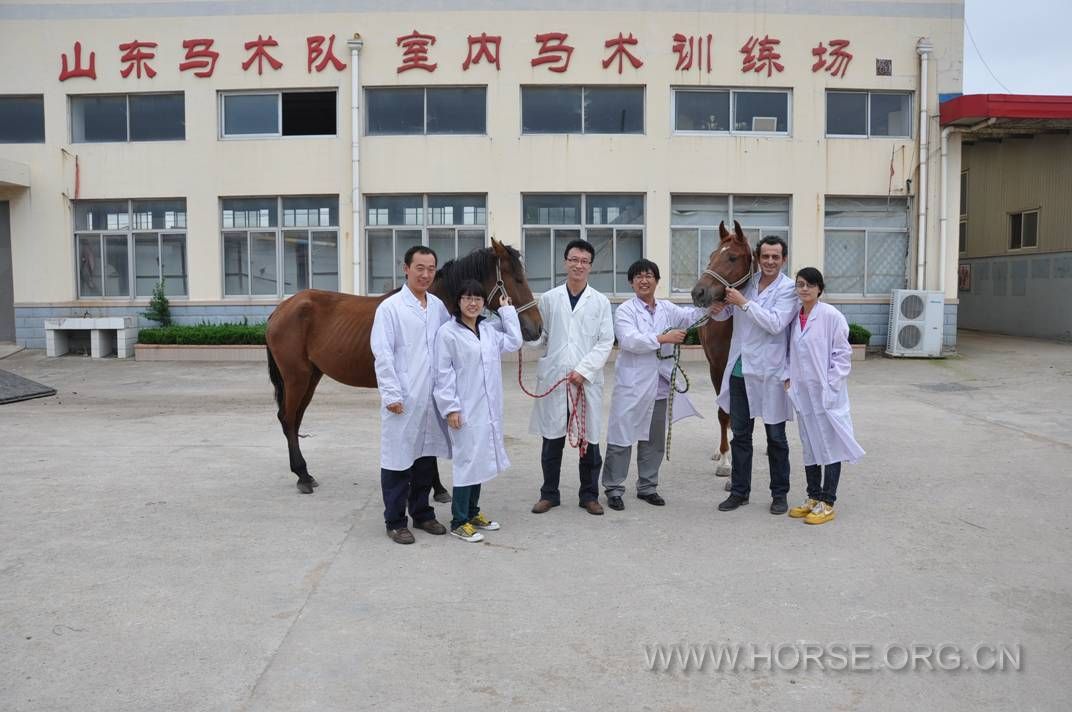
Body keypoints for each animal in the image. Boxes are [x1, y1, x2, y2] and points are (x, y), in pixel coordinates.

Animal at [263, 235, 540, 493]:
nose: (537, 328)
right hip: (296, 377)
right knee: (288, 419)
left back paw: (305, 474)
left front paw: (436, 487)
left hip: (312, 376)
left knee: (294, 419)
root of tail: (281, 309)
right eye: (517, 279)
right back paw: (302, 475)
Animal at [690, 220, 758, 478]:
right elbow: (722, 413)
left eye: (732, 257)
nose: (698, 293)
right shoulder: (718, 368)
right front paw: (725, 460)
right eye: (711, 256)